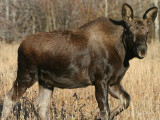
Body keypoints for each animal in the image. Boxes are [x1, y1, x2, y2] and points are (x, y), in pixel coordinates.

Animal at [0, 2, 158, 120]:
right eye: (129, 31)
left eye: (147, 32)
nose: (142, 50)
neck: (122, 53)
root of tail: (20, 46)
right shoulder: (100, 80)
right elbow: (105, 111)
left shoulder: (113, 82)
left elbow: (126, 100)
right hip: (26, 74)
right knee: (9, 98)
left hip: (46, 81)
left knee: (40, 106)